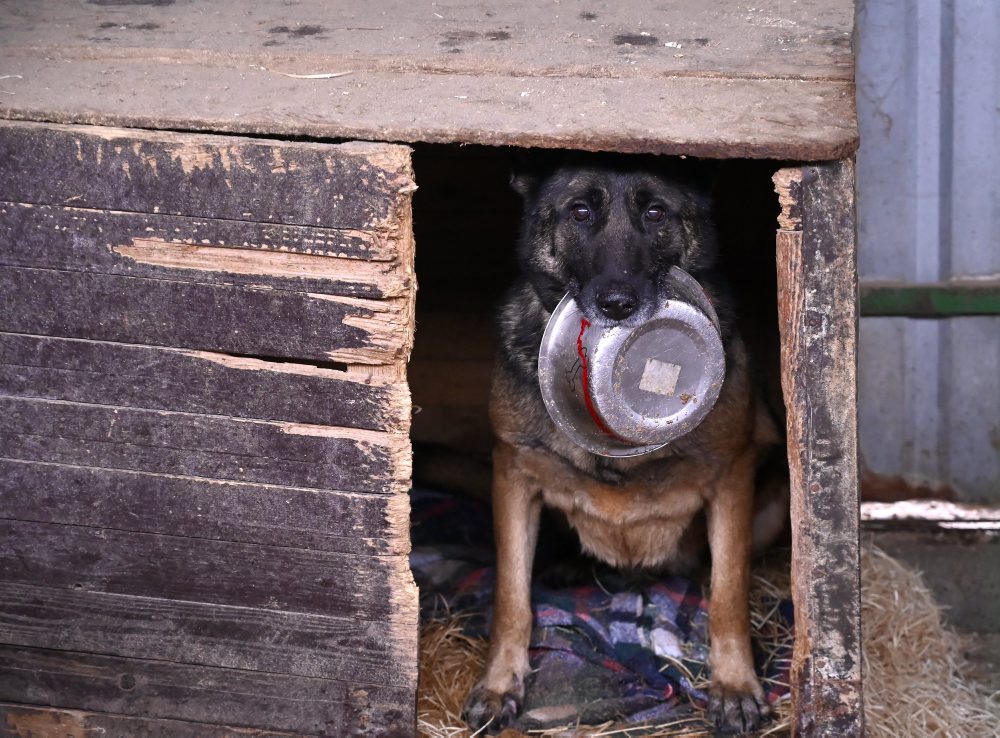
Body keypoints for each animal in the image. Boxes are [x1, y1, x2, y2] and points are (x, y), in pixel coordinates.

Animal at [462, 154, 788, 732]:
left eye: (655, 213)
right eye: (580, 212)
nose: (617, 304)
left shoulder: (731, 474)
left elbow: (728, 593)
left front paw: (734, 685)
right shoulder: (514, 471)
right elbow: (511, 597)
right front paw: (500, 683)